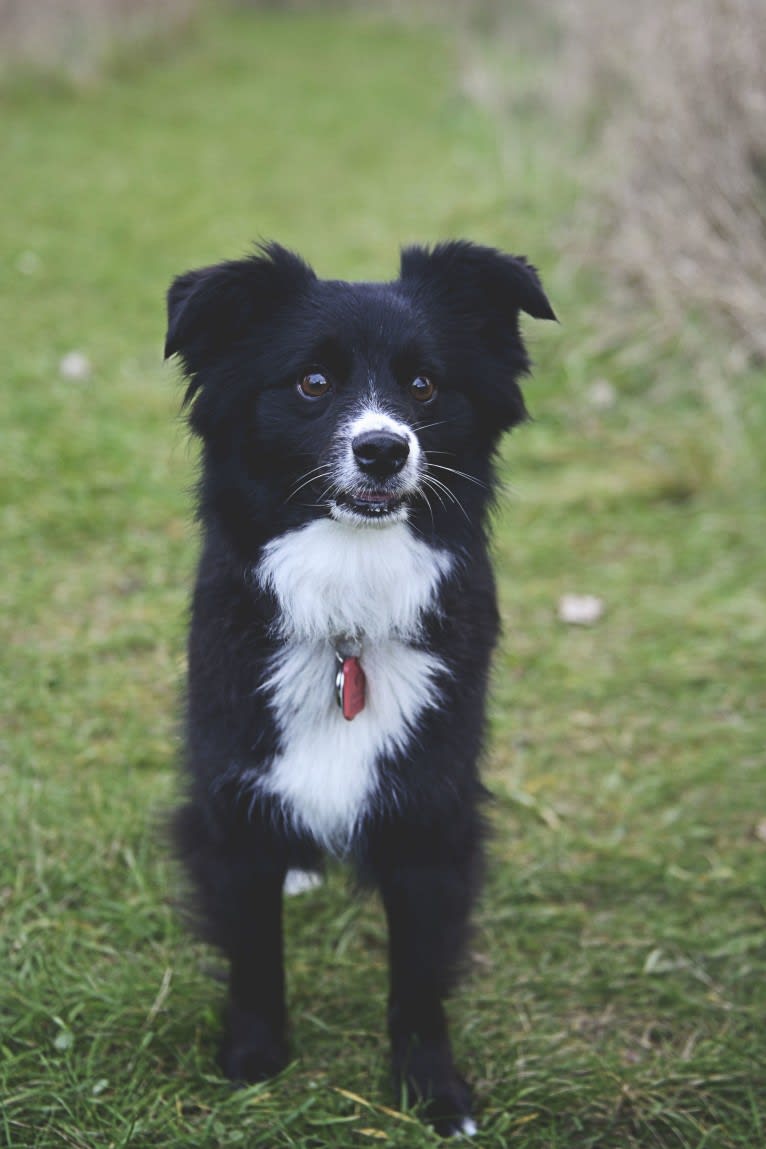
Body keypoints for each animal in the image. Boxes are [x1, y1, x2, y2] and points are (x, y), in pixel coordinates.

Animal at [165, 240, 553, 1130]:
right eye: (312, 381)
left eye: (425, 384)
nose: (384, 450)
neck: (347, 604)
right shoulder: (233, 802)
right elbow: (253, 951)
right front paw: (254, 1060)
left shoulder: (432, 812)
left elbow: (420, 977)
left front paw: (433, 1089)